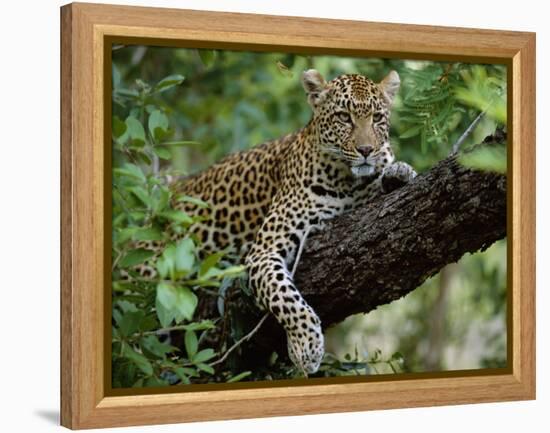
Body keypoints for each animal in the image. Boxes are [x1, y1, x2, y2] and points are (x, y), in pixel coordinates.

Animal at [135, 69, 418, 372]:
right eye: (344, 117)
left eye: (377, 118)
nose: (366, 150)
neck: (348, 182)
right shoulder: (263, 252)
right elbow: (285, 297)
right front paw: (306, 347)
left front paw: (399, 172)